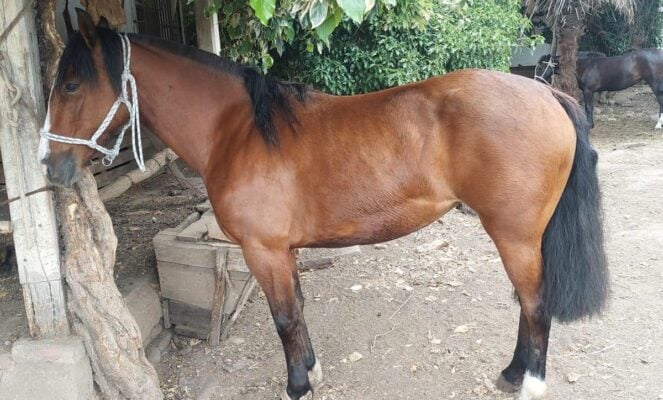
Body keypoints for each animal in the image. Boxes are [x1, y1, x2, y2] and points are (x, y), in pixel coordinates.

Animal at [40, 10, 608, 400]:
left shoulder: (263, 251)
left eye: (71, 83)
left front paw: (296, 386)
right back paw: (512, 373)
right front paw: (310, 372)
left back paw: (528, 382)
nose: (51, 166)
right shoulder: (283, 252)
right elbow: (298, 312)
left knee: (535, 304)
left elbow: (285, 320)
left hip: (515, 235)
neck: (239, 131)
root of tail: (547, 95)